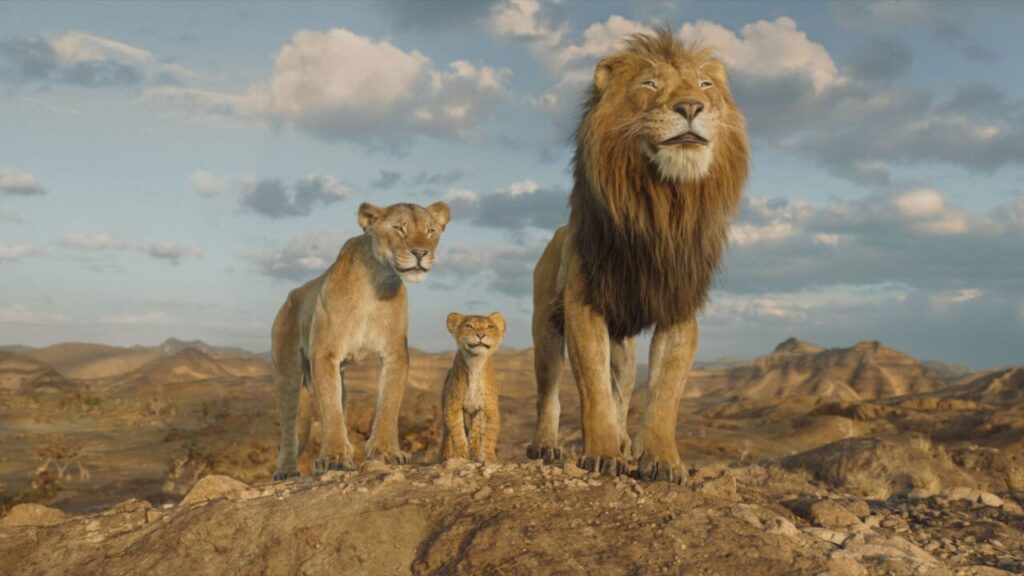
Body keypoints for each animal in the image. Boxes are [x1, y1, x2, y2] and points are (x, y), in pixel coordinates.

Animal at [271, 201, 450, 480]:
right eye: (399, 228)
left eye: (431, 231)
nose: (421, 252)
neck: (377, 282)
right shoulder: (325, 353)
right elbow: (330, 410)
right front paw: (333, 457)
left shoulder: (395, 352)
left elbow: (389, 402)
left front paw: (386, 451)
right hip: (287, 373)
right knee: (290, 425)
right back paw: (286, 470)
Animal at [439, 312, 506, 463]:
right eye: (469, 326)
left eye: (489, 327)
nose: (480, 334)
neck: (476, 363)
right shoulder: (452, 406)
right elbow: (457, 434)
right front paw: (462, 456)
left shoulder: (490, 408)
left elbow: (489, 436)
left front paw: (488, 457)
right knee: (446, 432)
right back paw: (444, 455)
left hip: (477, 413)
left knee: (475, 433)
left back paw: (475, 452)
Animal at [527, 28, 749, 483]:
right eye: (649, 84)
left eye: (706, 85)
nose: (690, 107)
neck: (662, 205)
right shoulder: (583, 304)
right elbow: (593, 389)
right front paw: (601, 453)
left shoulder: (678, 307)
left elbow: (665, 393)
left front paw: (661, 460)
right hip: (545, 326)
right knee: (549, 390)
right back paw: (546, 445)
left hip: (623, 346)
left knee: (623, 388)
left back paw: (625, 441)